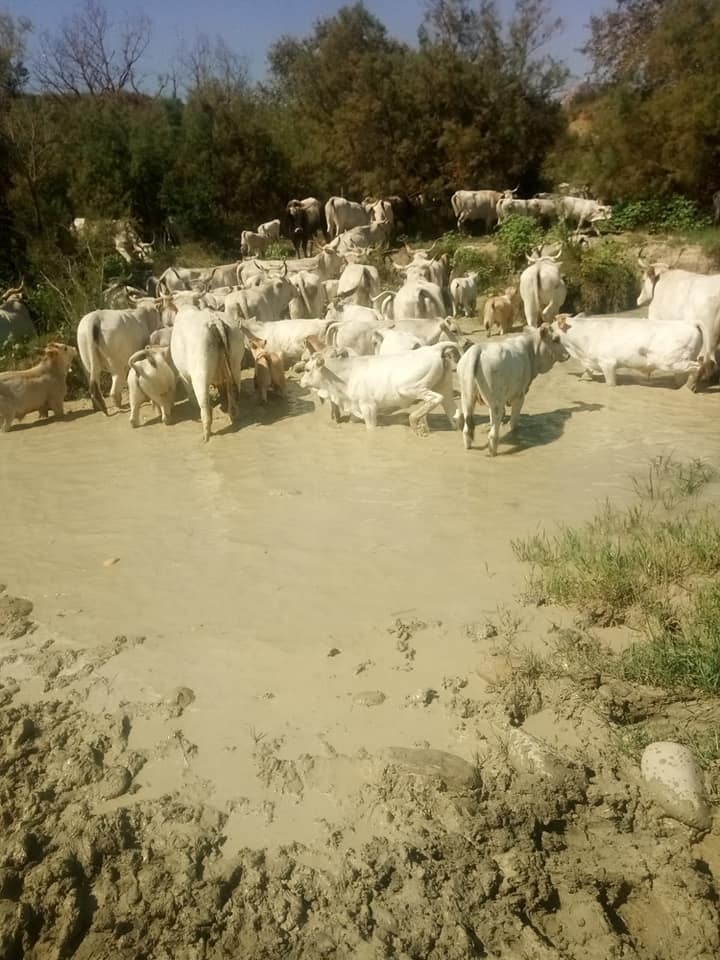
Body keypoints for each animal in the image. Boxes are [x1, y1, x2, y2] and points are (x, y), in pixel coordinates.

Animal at [170, 308, 246, 442]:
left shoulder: (183, 375)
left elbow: (190, 391)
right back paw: (234, 415)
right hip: (236, 362)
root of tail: (215, 320)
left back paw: (206, 436)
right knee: (233, 390)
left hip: (200, 371)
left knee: (204, 405)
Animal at [300, 342, 458, 432]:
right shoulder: (356, 409)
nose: (301, 382)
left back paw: (415, 422)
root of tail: (434, 348)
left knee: (436, 398)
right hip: (445, 389)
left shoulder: (368, 407)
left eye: (307, 370)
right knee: (454, 413)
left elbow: (371, 428)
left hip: (411, 388)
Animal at [458, 324, 572, 456]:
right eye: (555, 340)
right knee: (493, 433)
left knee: (467, 428)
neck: (530, 351)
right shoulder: (519, 396)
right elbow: (513, 422)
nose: (568, 355)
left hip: (467, 398)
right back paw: (493, 451)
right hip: (496, 403)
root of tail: (478, 349)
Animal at [552, 316, 704, 388]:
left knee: (697, 367)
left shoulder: (607, 363)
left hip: (674, 362)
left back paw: (690, 388)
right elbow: (585, 374)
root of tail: (691, 323)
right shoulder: (591, 361)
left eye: (551, 328)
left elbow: (611, 383)